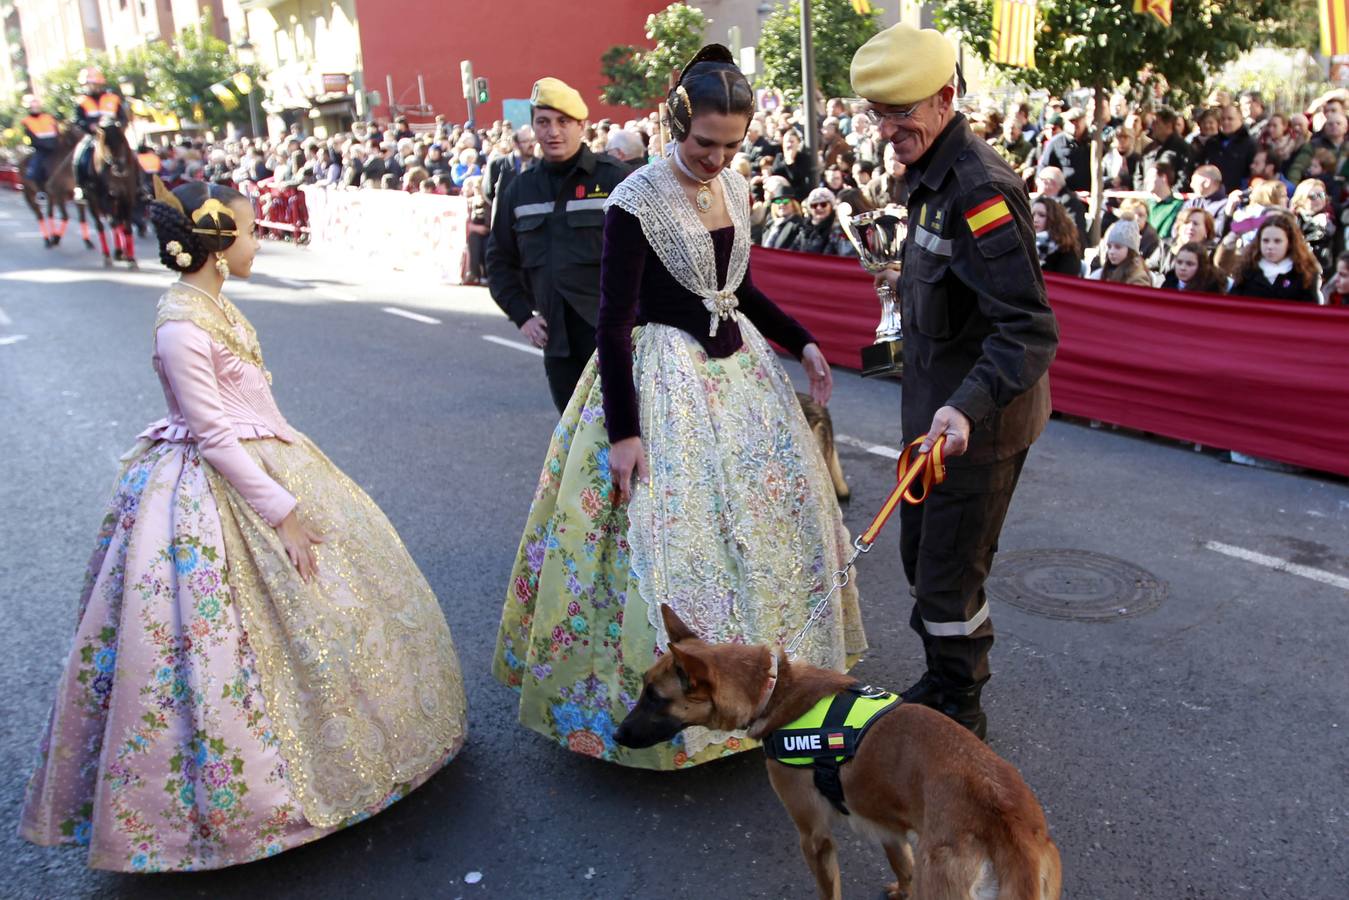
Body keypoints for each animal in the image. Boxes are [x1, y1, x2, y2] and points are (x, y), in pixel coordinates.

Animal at [76, 114, 143, 267]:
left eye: (123, 141)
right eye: (105, 144)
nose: (120, 168)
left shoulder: (127, 197)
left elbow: (127, 226)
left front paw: (130, 258)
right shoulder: (105, 198)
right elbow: (114, 223)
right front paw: (119, 253)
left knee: (119, 223)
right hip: (93, 201)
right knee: (101, 225)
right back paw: (109, 255)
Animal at [615, 604, 1063, 900]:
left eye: (655, 698)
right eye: (643, 687)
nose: (617, 735)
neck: (776, 690)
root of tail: (1006, 819)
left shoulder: (814, 837)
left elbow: (828, 889)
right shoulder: (886, 827)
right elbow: (902, 865)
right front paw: (901, 888)